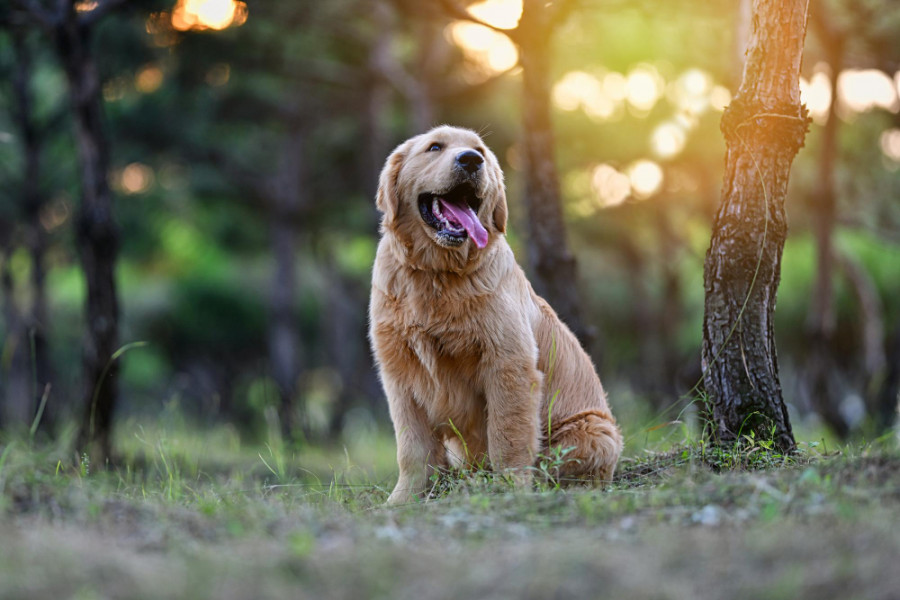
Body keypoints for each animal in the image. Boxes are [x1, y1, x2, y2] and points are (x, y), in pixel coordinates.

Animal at [370, 126, 624, 506]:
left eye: (480, 151)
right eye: (434, 147)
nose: (471, 161)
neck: (437, 274)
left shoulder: (508, 363)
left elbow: (508, 435)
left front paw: (510, 489)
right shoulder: (399, 372)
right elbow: (412, 447)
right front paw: (403, 499)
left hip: (593, 430)